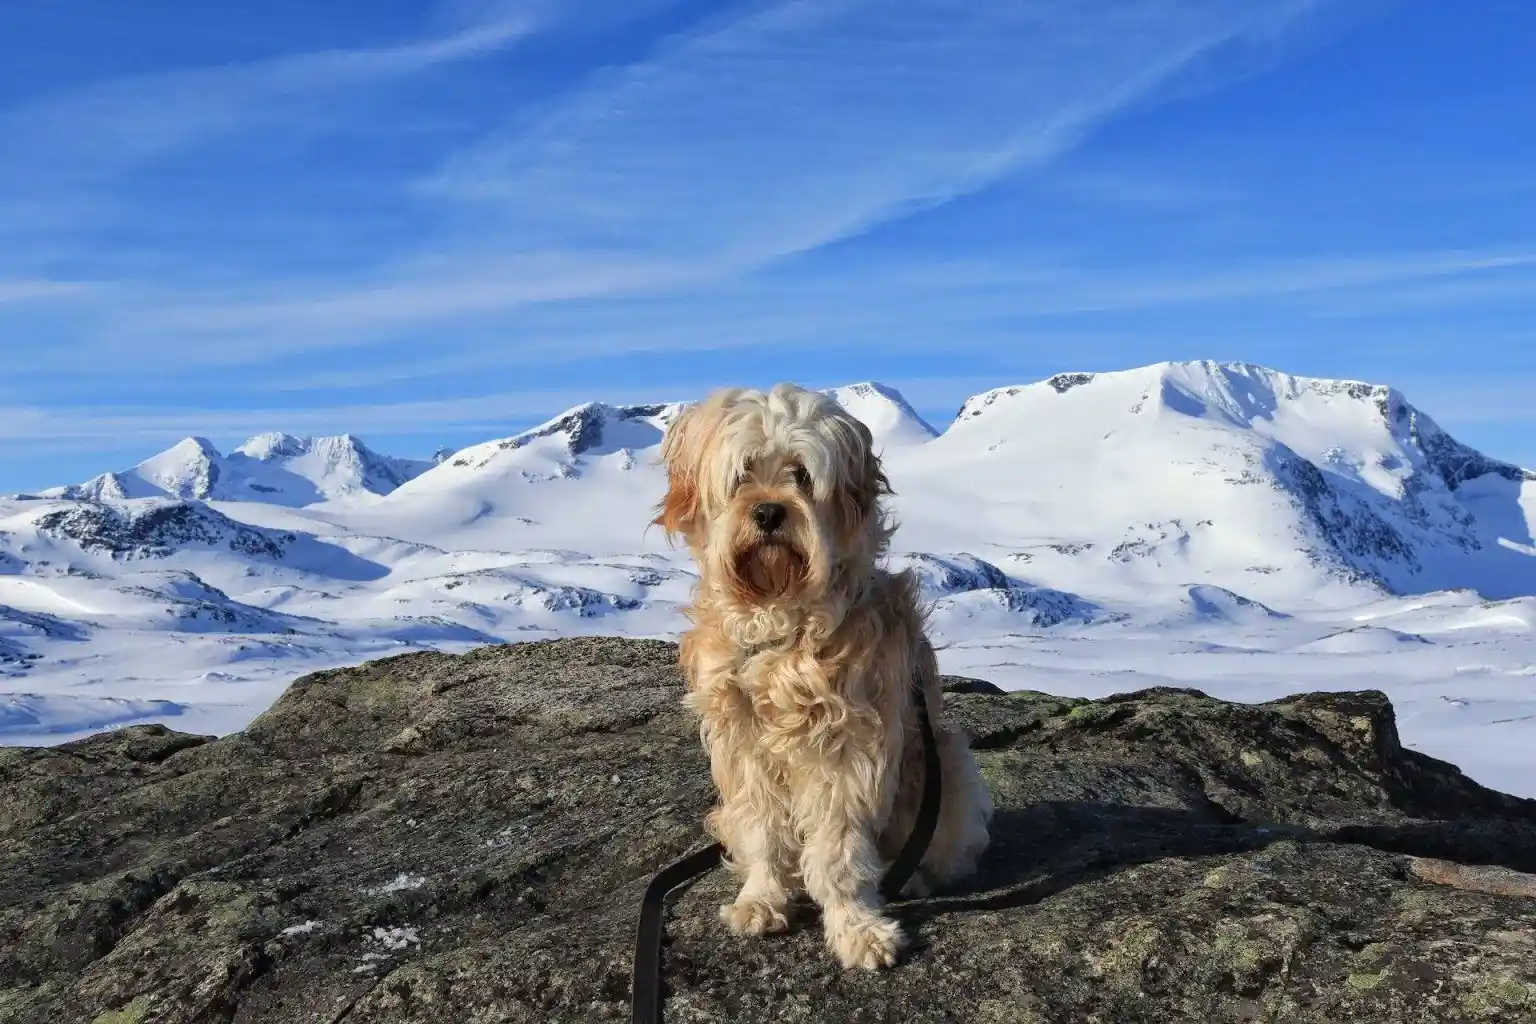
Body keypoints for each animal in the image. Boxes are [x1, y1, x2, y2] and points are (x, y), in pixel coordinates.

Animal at [651, 382, 995, 970]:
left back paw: (916, 876)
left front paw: (858, 927)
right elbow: (765, 835)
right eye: (743, 473)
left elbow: (839, 851)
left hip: (946, 768)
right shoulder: (744, 747)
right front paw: (762, 900)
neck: (780, 626)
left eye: (802, 475)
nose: (769, 512)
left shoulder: (848, 748)